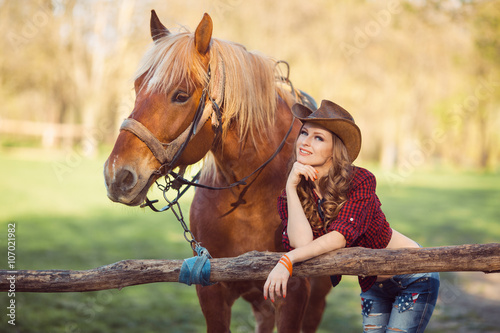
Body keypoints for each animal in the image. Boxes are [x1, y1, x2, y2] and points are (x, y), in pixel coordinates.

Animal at [104, 11, 332, 330]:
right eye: (138, 87)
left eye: (181, 95)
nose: (117, 175)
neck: (251, 196)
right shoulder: (210, 289)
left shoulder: (296, 292)